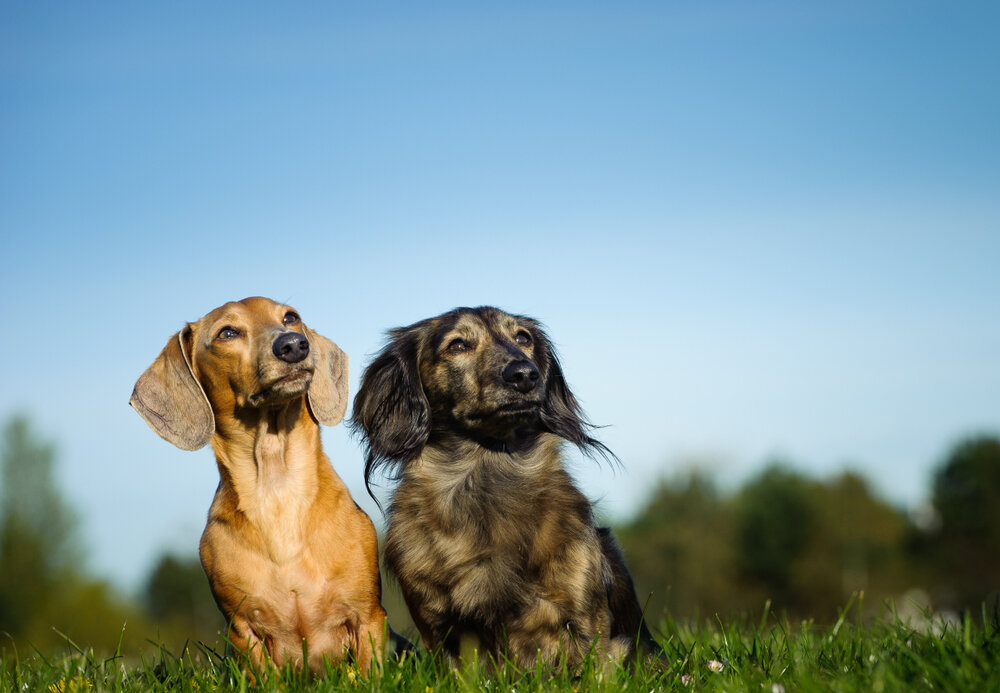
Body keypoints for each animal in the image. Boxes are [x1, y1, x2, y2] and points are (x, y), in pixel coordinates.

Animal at [133, 296, 394, 672]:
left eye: (291, 317)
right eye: (228, 332)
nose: (294, 345)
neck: (277, 489)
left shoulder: (368, 615)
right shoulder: (243, 630)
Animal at [350, 306, 656, 668]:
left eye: (523, 338)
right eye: (457, 345)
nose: (524, 375)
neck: (487, 478)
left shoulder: (586, 619)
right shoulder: (438, 629)